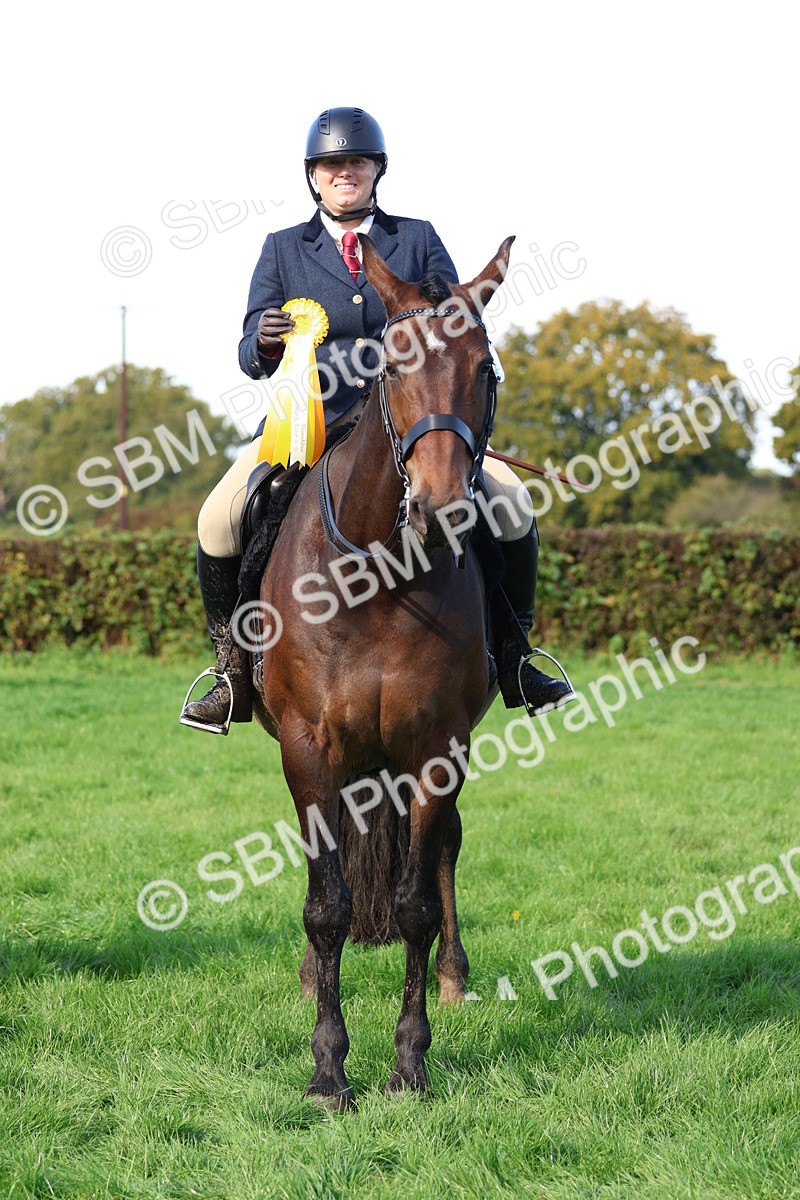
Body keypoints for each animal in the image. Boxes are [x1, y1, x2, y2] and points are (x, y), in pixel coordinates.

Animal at [251, 234, 515, 1109]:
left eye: (485, 370)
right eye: (391, 366)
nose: (441, 512)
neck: (378, 572)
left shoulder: (436, 751)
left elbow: (416, 904)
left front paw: (409, 1064)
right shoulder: (309, 748)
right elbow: (327, 906)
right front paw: (329, 1069)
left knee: (444, 855)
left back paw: (455, 979)